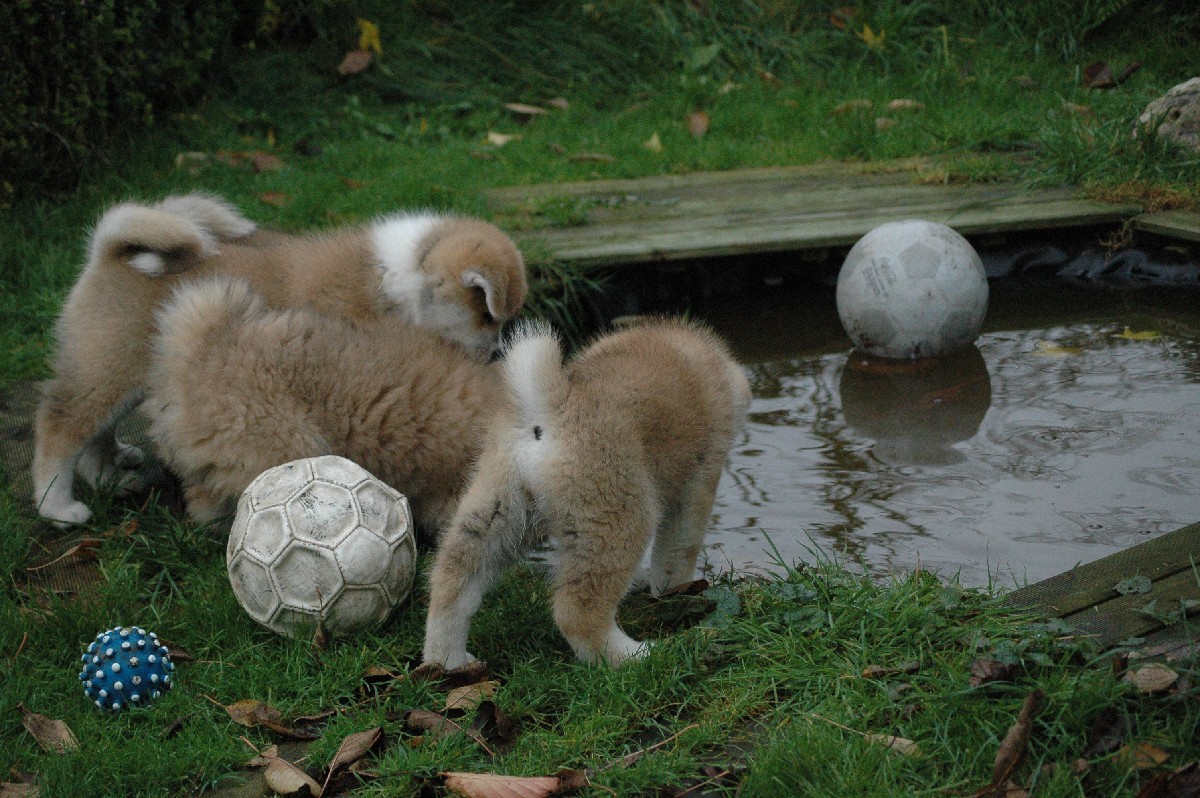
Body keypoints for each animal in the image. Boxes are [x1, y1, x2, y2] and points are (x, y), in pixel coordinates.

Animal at [422, 318, 751, 668]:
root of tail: (551, 407)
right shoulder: (698, 482)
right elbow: (677, 555)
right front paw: (678, 591)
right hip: (618, 517)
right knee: (578, 613)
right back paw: (634, 656)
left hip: (495, 510)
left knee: (451, 584)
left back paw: (448, 663)